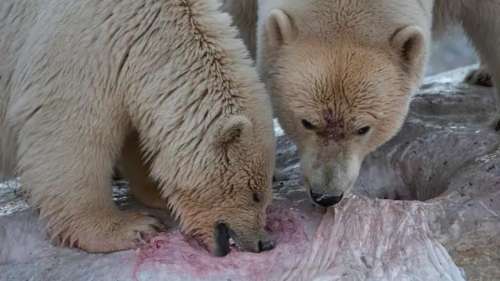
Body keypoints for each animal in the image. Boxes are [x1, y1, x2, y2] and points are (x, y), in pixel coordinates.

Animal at [0, 0, 278, 256]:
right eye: (255, 193)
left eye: (265, 193)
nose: (263, 243)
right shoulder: (81, 51)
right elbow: (68, 134)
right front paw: (131, 227)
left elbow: (136, 137)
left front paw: (157, 194)